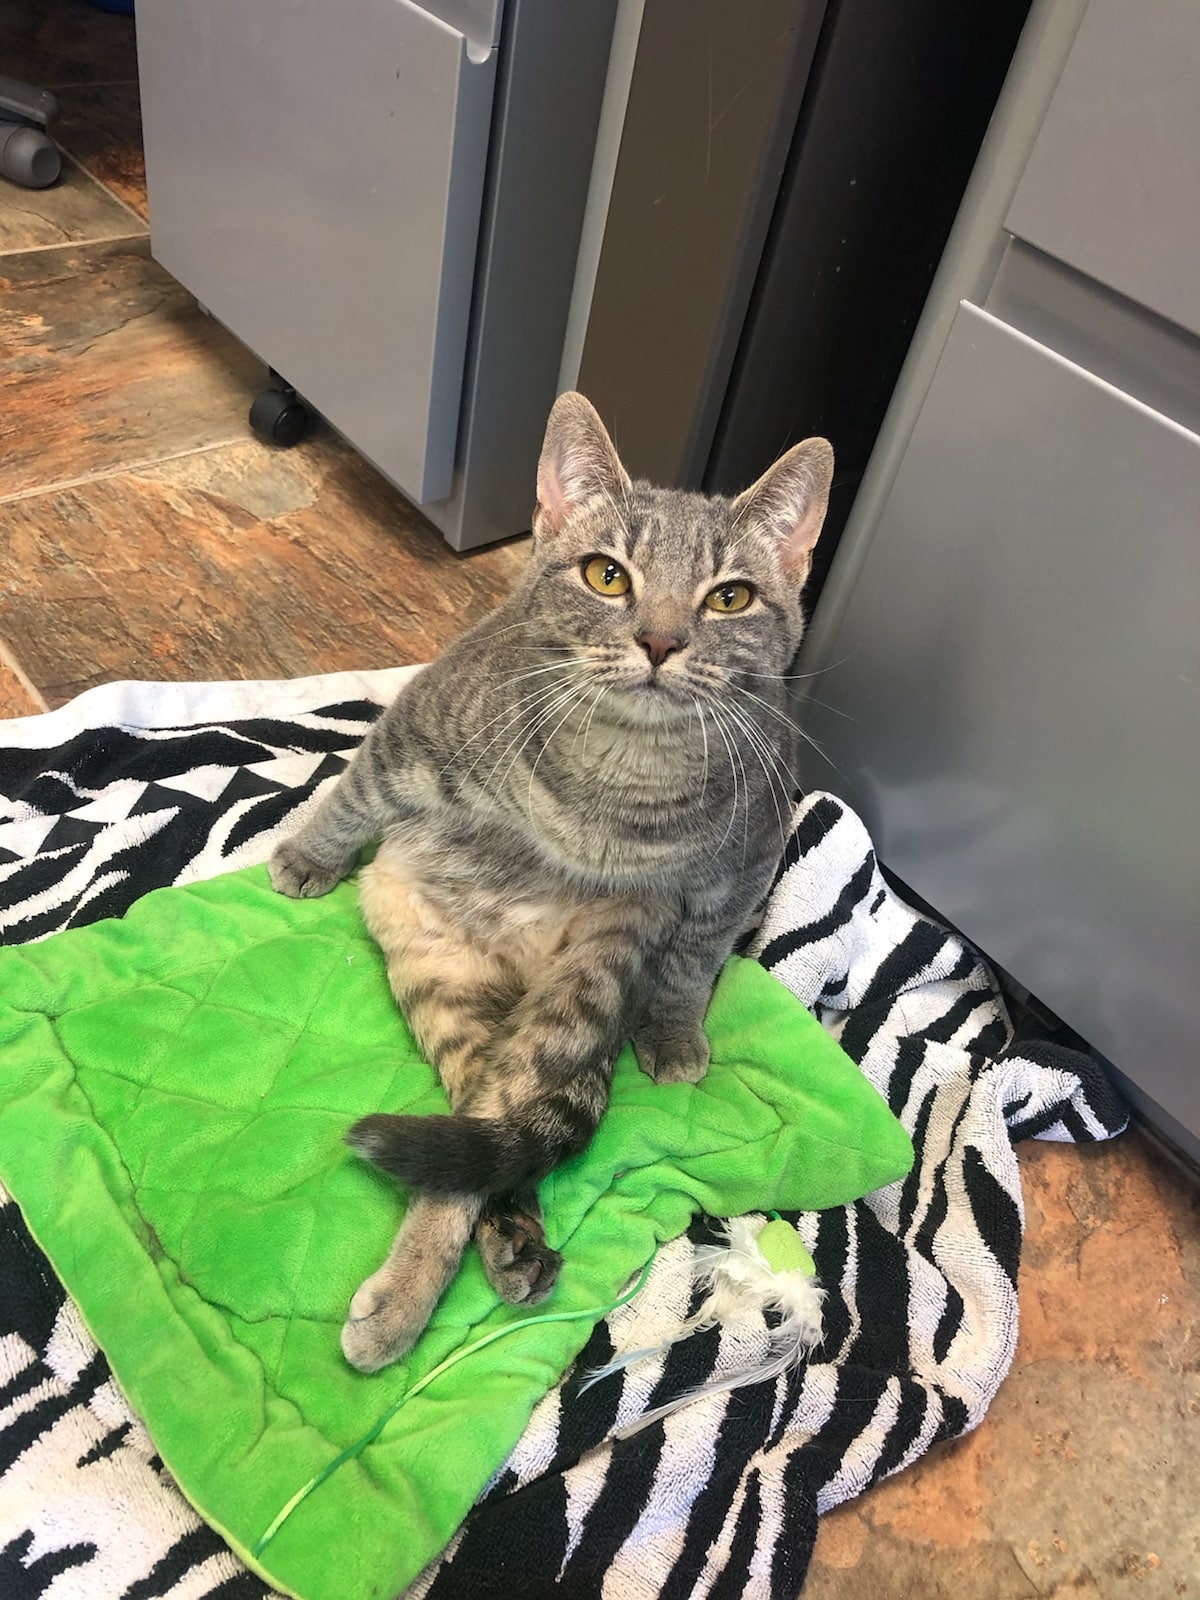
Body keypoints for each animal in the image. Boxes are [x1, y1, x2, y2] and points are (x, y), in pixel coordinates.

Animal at [268, 391, 833, 1372]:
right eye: (608, 577)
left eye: (729, 597)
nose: (659, 640)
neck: (619, 777)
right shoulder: (418, 731)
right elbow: (352, 791)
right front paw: (309, 852)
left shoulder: (748, 852)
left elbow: (693, 959)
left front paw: (672, 1030)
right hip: (443, 977)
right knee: (479, 1134)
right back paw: (450, 1275)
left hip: (570, 996)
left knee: (494, 1130)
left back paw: (471, 1265)